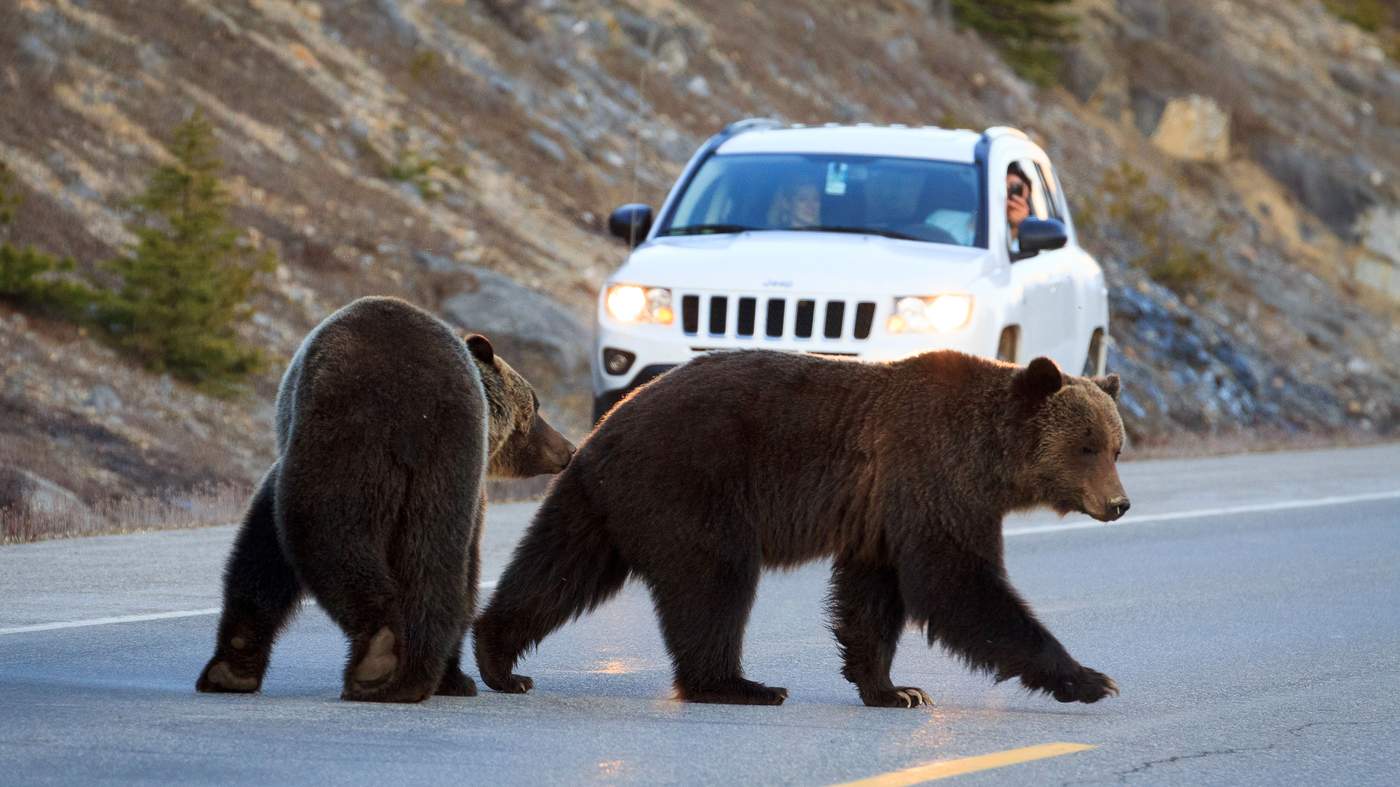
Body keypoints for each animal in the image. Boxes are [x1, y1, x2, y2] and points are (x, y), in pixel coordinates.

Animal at [197, 296, 575, 703]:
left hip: (350, 448)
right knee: (432, 564)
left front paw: (231, 670)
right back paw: (410, 676)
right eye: (536, 405)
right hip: (439, 467)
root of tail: (413, 408)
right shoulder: (471, 489)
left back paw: (380, 659)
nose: (567, 448)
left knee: (333, 538)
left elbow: (264, 547)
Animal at [474, 349, 1129, 707]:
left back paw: (499, 660)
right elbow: (957, 584)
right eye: (1087, 446)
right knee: (715, 582)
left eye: (1115, 445)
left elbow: (873, 597)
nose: (1119, 503)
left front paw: (894, 689)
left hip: (604, 503)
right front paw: (1089, 678)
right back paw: (738, 684)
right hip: (691, 483)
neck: (991, 458)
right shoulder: (932, 477)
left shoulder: (881, 512)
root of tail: (602, 428)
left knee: (558, 570)